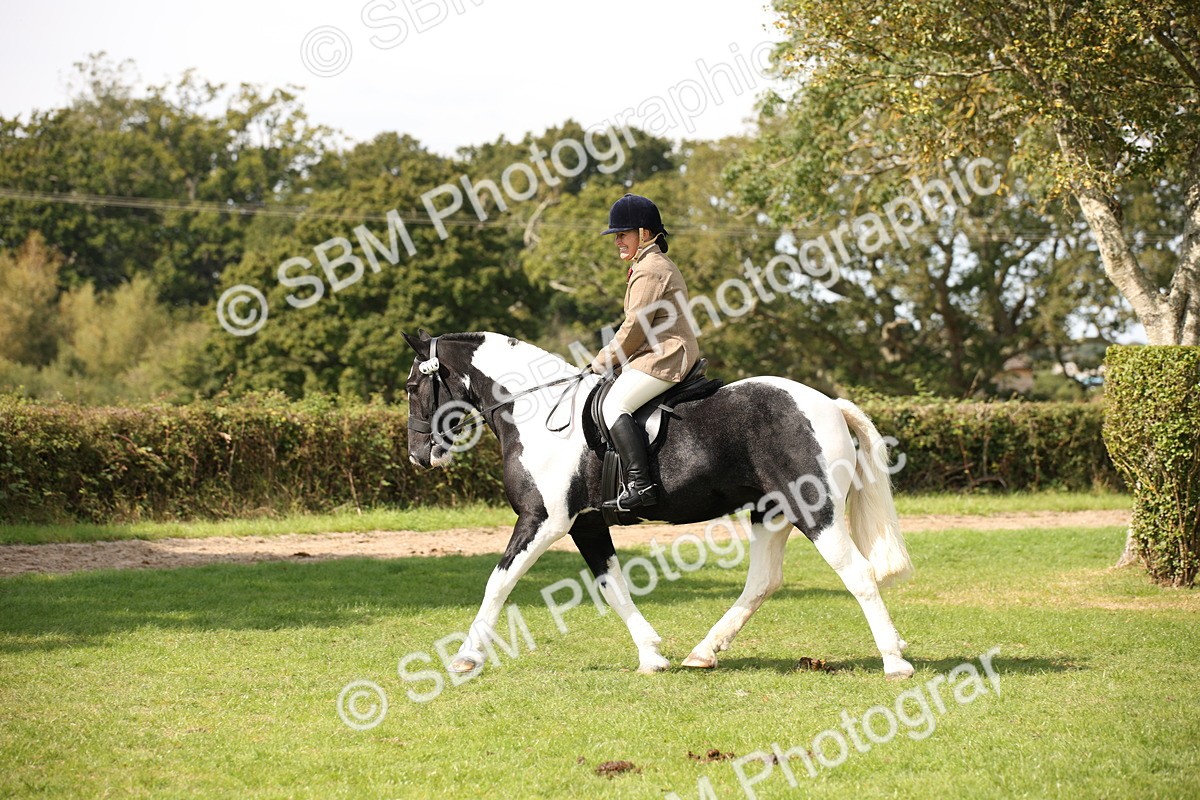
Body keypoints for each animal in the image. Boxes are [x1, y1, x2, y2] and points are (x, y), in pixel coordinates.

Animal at [403, 330, 915, 678]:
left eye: (411, 386)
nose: (417, 455)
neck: (537, 410)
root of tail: (828, 404)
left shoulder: (543, 520)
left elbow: (498, 582)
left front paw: (465, 657)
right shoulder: (587, 524)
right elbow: (613, 586)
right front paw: (651, 654)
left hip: (814, 510)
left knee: (858, 574)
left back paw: (894, 661)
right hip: (770, 513)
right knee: (763, 582)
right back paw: (702, 653)